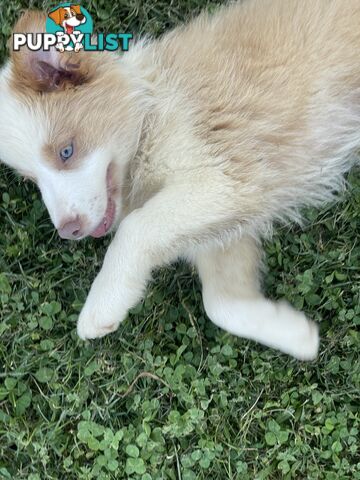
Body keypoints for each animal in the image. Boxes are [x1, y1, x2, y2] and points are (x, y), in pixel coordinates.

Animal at [0, 0, 360, 360]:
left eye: (66, 151)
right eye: (31, 179)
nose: (69, 231)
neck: (150, 111)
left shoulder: (221, 178)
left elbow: (134, 229)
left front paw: (102, 305)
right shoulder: (224, 222)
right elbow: (220, 304)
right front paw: (298, 335)